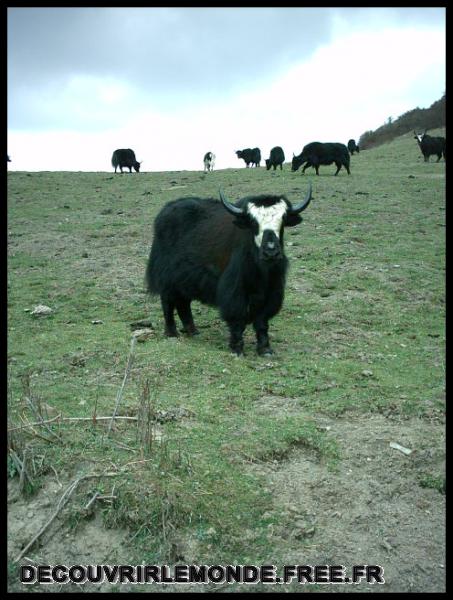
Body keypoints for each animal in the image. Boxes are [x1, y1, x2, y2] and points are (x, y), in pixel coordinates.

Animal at [145, 184, 310, 356]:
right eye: (253, 222)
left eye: (283, 220)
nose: (271, 252)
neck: (261, 270)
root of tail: (165, 211)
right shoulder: (234, 290)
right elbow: (237, 318)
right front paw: (237, 349)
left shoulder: (271, 292)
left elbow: (262, 321)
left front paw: (265, 349)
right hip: (166, 278)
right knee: (168, 303)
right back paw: (172, 333)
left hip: (185, 281)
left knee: (183, 303)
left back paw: (193, 331)